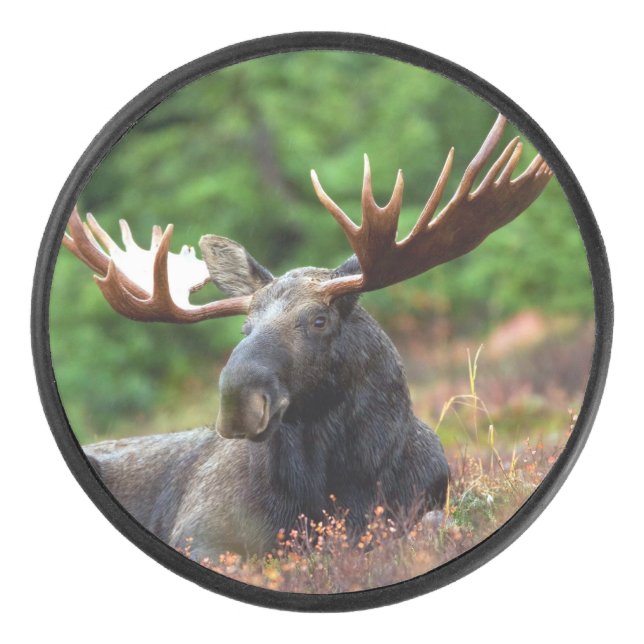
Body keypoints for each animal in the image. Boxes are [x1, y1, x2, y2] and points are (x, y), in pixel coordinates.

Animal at [63, 115, 552, 560]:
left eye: (319, 320)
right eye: (246, 327)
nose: (237, 401)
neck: (337, 486)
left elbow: (432, 525)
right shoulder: (199, 530)